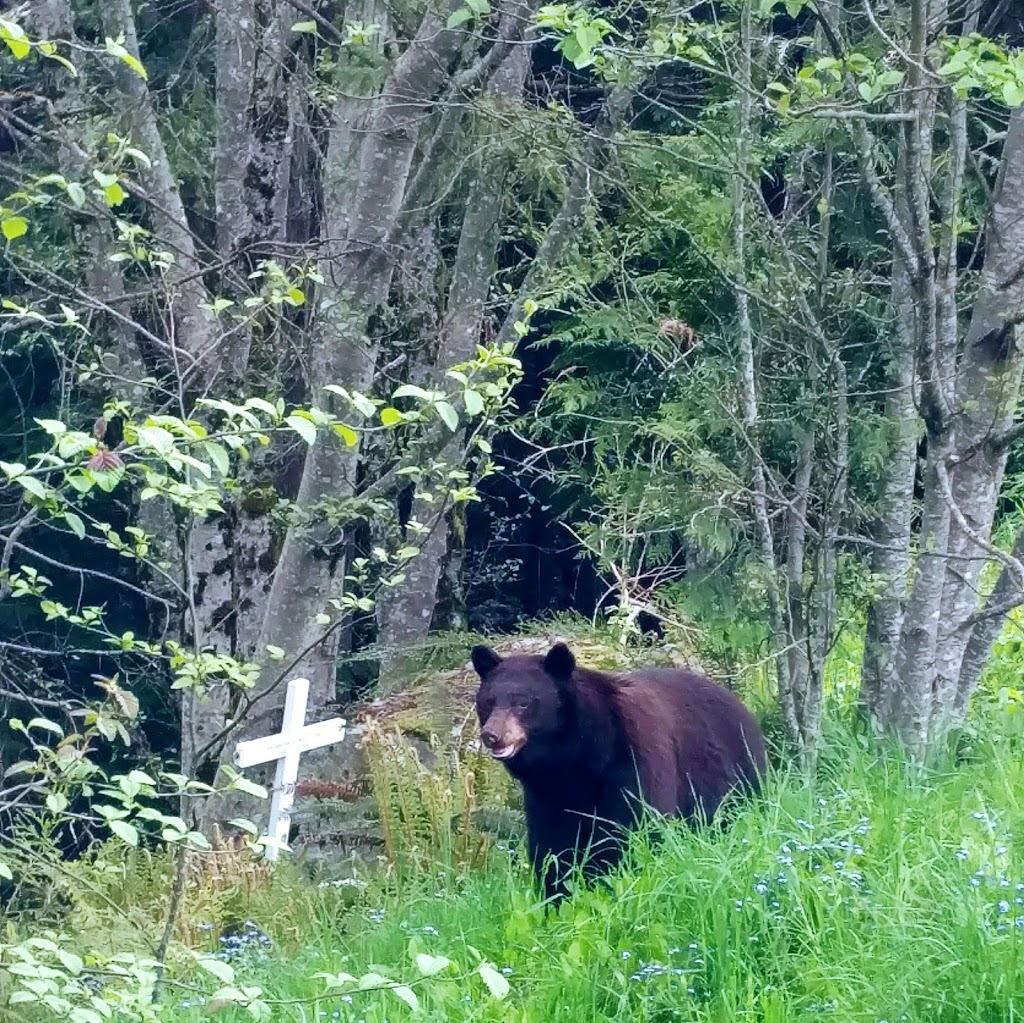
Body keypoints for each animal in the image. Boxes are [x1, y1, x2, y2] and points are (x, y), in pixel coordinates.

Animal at [468, 643, 765, 901]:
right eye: (489, 701)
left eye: (523, 702)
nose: (492, 735)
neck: (574, 762)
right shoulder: (545, 797)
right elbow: (552, 850)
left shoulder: (632, 764)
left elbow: (637, 833)